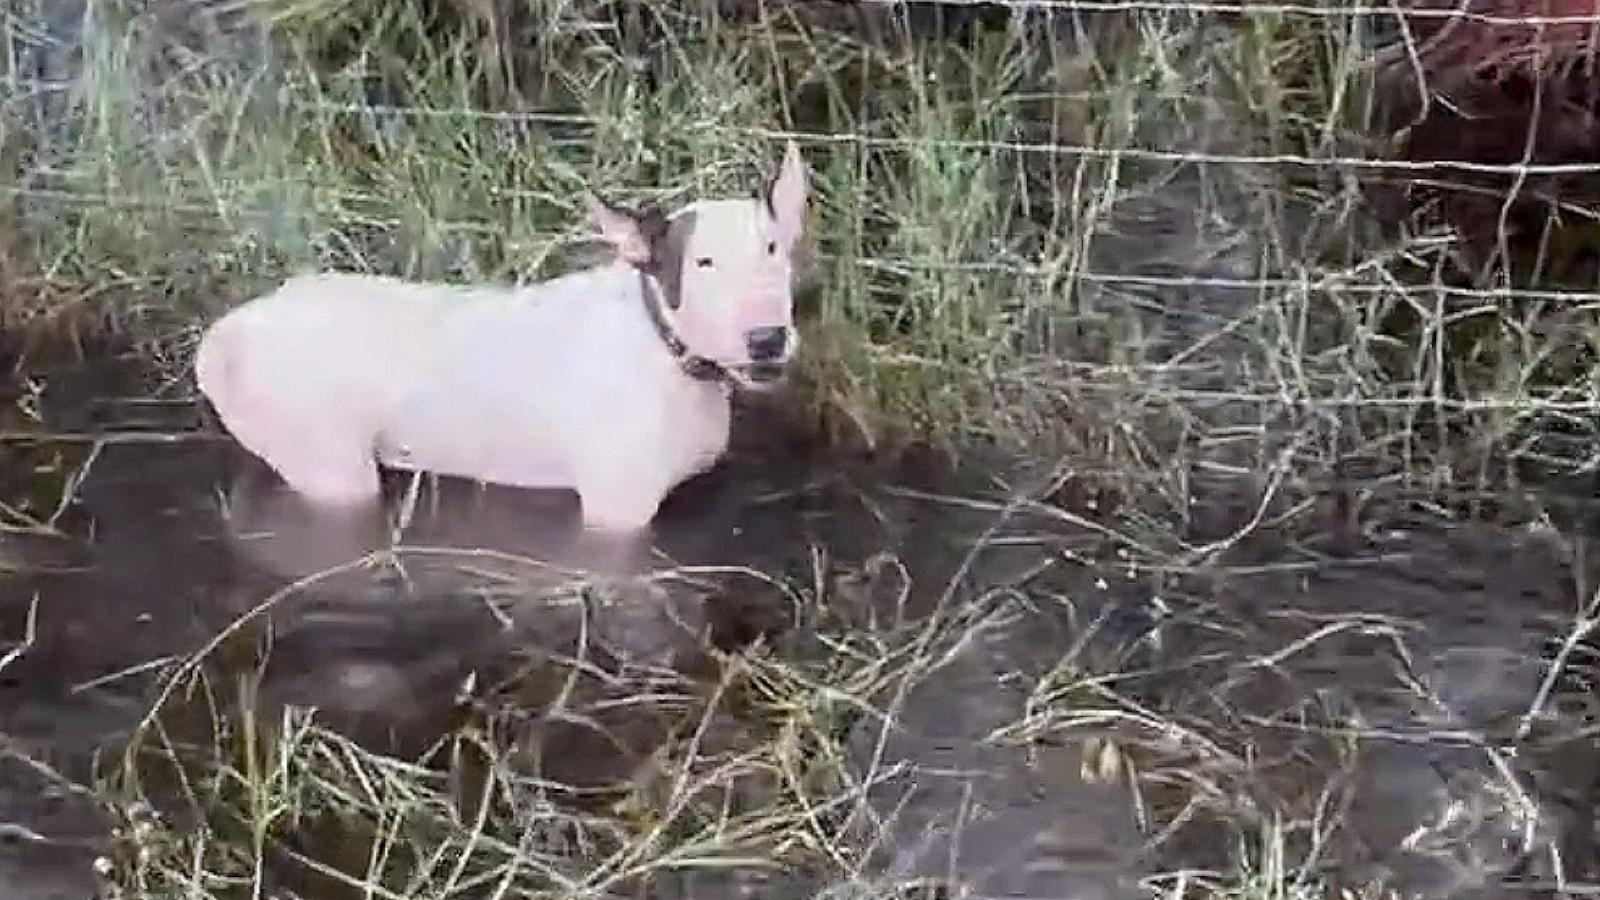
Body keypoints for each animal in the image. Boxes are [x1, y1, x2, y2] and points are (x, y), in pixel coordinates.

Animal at [193, 141, 806, 573]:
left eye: (773, 249)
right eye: (702, 262)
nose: (767, 338)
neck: (664, 347)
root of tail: (226, 333)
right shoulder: (616, 514)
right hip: (331, 466)